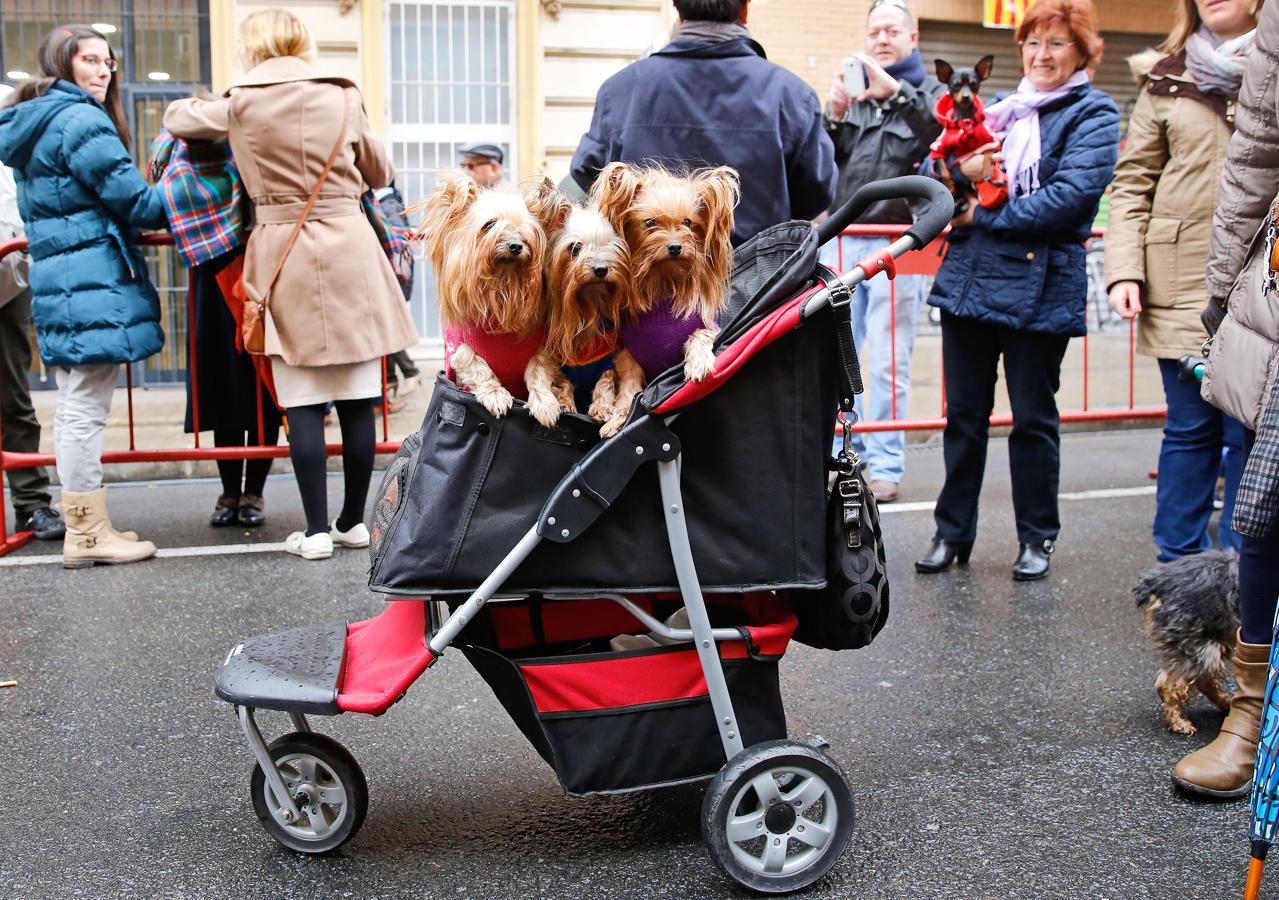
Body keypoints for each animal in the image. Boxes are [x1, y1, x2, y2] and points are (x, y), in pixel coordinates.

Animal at [1135, 552, 1243, 736]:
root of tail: (1158, 582)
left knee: (1203, 679)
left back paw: (1226, 703)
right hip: (1199, 644)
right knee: (1169, 684)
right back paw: (1179, 723)